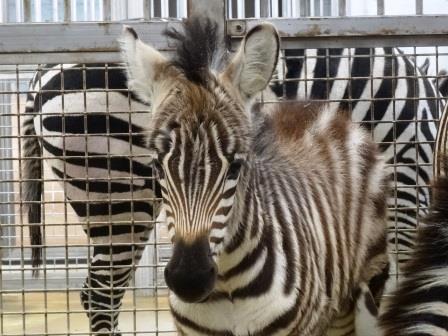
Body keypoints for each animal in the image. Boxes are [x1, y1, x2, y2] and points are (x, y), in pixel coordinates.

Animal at [121, 15, 390, 334]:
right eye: (157, 167)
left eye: (236, 167)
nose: (189, 280)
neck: (227, 284)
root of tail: (317, 108)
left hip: (365, 283)